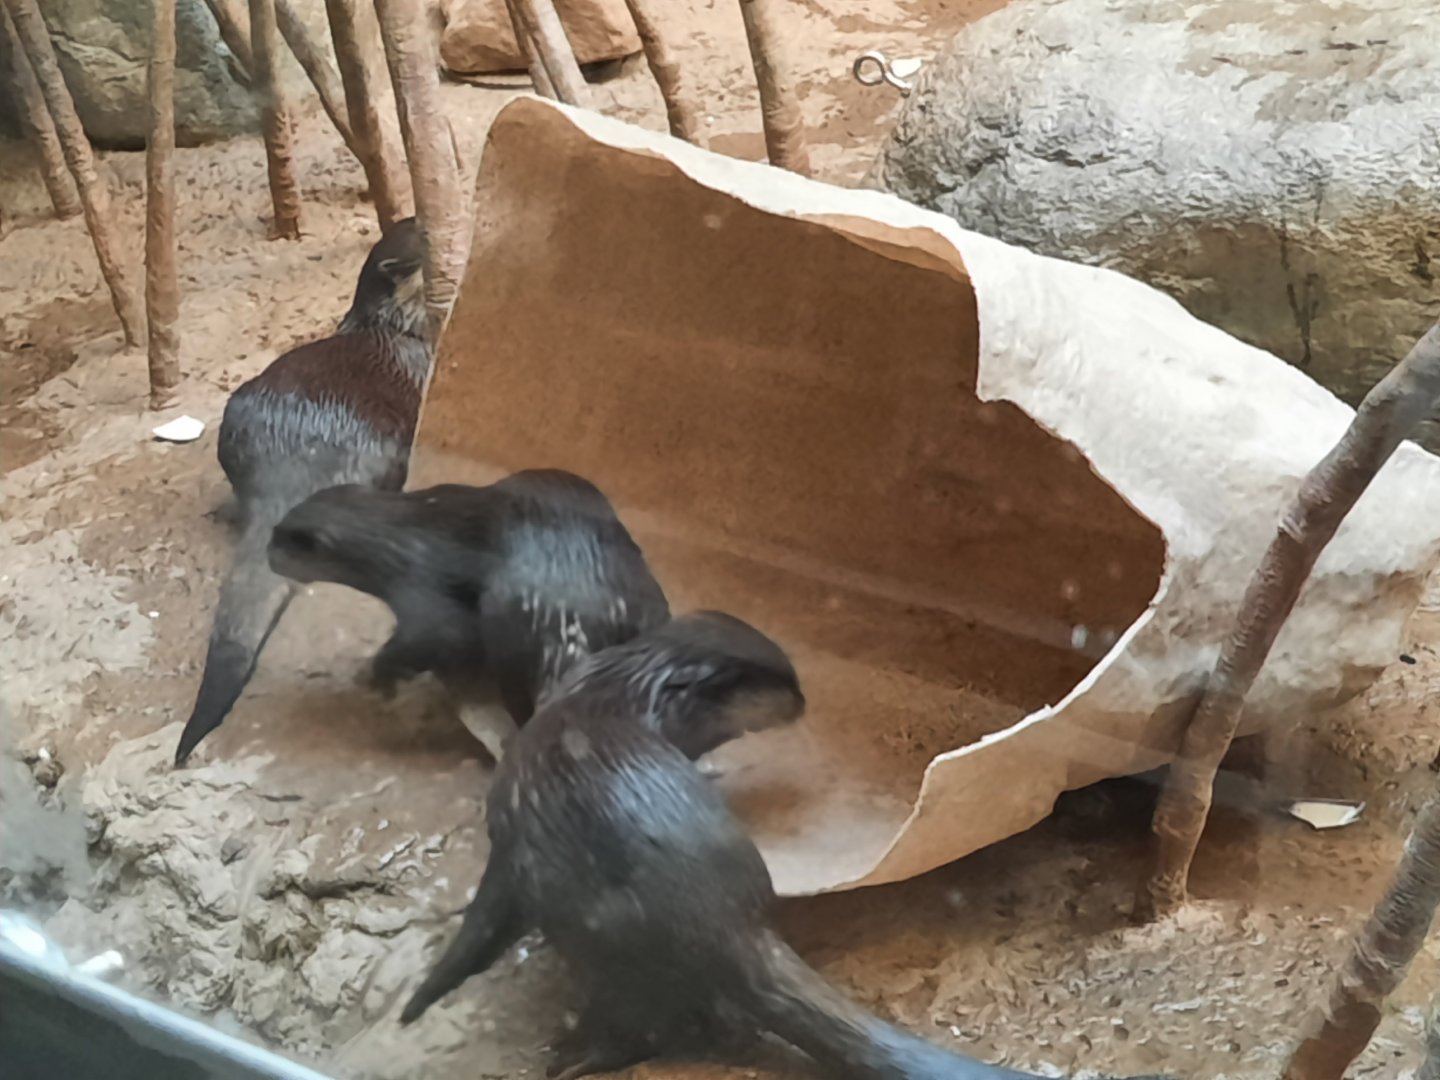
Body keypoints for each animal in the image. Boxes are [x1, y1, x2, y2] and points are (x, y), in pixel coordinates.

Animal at [265, 469, 671, 759]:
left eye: (281, 537)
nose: (267, 554)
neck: (394, 536)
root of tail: (567, 628)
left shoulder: (416, 584)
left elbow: (437, 636)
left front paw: (375, 678)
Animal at [398, 612, 1165, 1080]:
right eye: (772, 682)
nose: (803, 700)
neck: (614, 694)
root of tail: (725, 926)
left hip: (606, 950)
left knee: (644, 1028)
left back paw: (573, 1054)